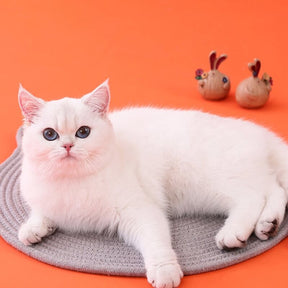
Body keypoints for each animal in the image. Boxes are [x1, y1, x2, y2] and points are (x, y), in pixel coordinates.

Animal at [17, 80, 288, 288]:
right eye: (49, 134)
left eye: (83, 132)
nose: (67, 146)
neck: (72, 182)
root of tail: (262, 134)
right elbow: (41, 213)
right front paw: (32, 229)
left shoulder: (139, 209)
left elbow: (155, 241)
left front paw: (165, 271)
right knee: (275, 191)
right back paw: (267, 225)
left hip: (219, 180)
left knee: (257, 196)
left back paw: (234, 233)